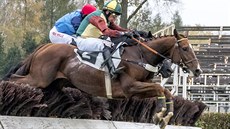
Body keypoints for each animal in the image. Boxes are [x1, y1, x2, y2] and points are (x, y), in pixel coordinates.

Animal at [7, 28, 201, 128]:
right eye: (185, 49)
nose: (198, 70)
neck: (140, 56)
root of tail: (44, 47)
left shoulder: (140, 88)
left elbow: (165, 92)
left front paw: (165, 117)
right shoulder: (130, 87)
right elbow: (160, 88)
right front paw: (160, 114)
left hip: (53, 84)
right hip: (38, 78)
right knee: (13, 79)